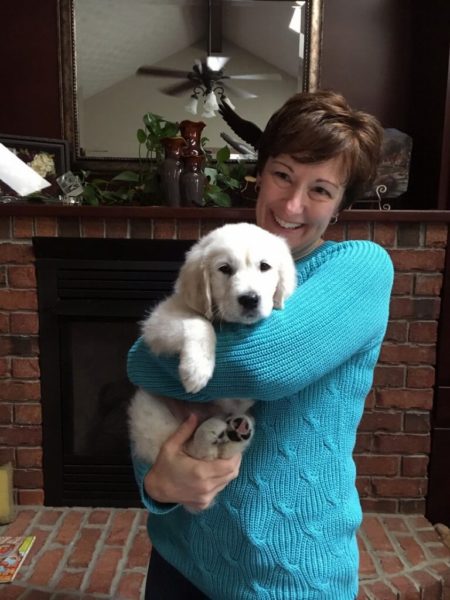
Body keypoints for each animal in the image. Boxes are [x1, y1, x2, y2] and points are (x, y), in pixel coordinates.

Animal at [127, 223, 296, 466]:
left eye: (264, 266)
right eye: (224, 269)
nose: (250, 299)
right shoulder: (158, 322)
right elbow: (199, 322)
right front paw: (196, 370)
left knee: (219, 453)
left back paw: (237, 430)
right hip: (149, 410)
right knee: (194, 453)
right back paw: (211, 433)